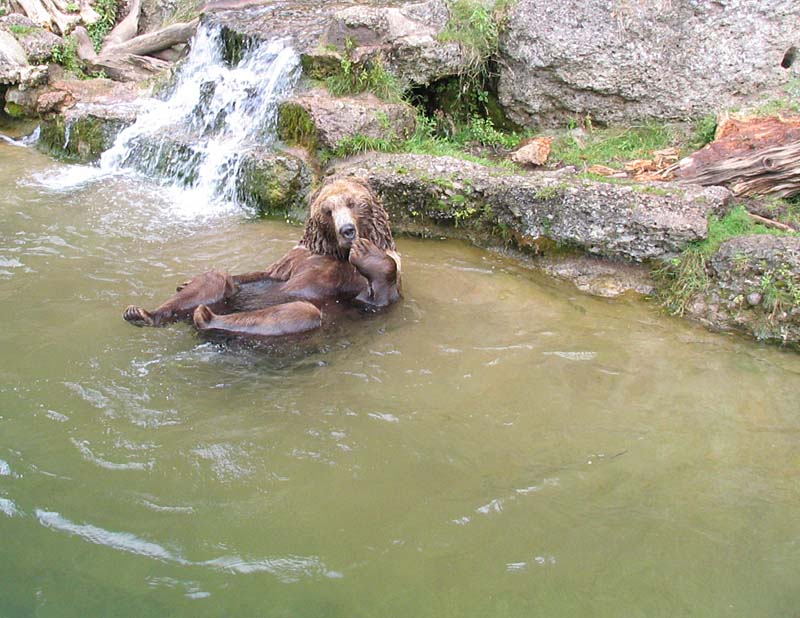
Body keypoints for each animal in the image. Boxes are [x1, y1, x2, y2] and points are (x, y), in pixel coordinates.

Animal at [121, 176, 400, 340]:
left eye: (352, 203)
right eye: (327, 210)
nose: (347, 230)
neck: (333, 251)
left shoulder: (357, 286)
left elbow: (375, 299)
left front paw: (367, 252)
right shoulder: (297, 258)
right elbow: (268, 273)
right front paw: (184, 282)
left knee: (302, 312)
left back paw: (206, 318)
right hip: (233, 293)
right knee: (216, 278)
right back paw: (142, 313)